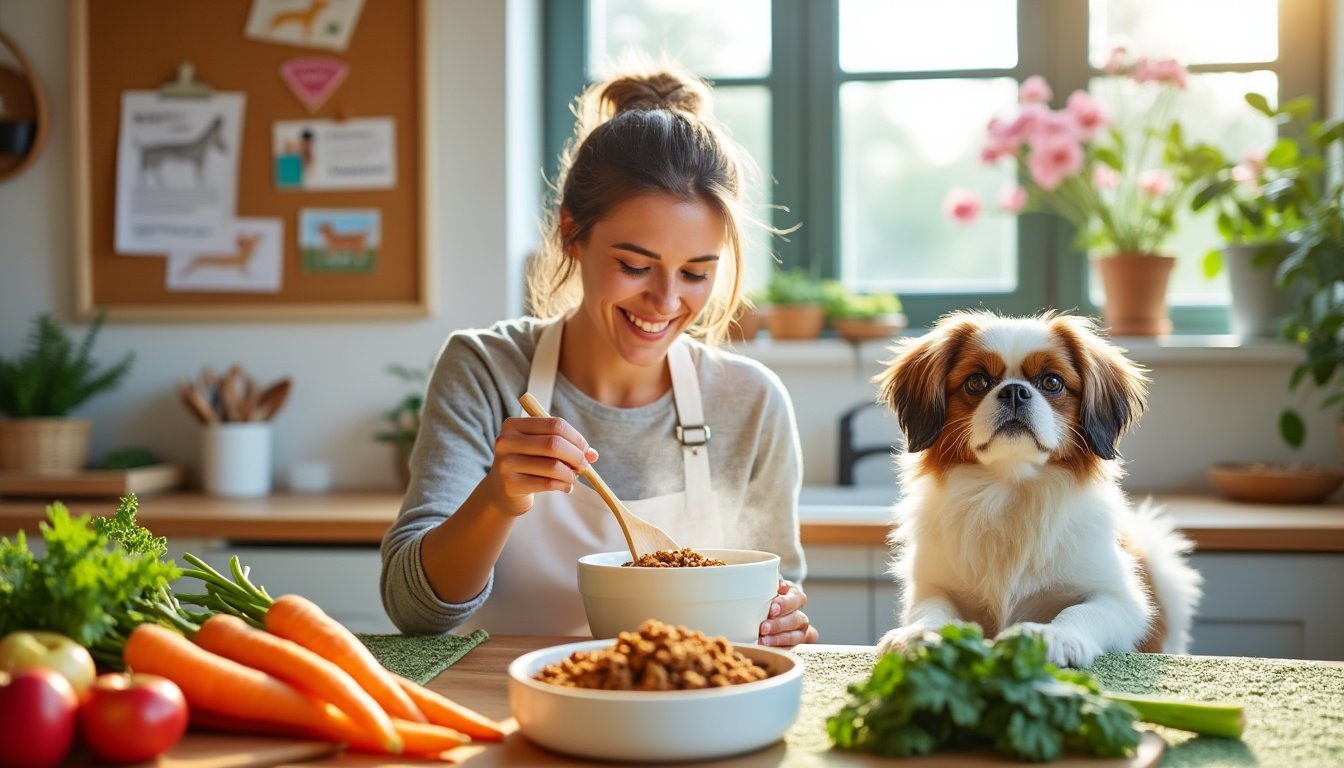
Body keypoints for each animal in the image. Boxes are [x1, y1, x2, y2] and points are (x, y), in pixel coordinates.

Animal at [876, 310, 1204, 667]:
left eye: (1052, 382)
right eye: (977, 382)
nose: (1015, 391)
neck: (1010, 488)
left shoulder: (1123, 601)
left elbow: (1081, 611)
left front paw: (1054, 636)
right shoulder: (932, 586)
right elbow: (933, 610)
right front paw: (919, 635)